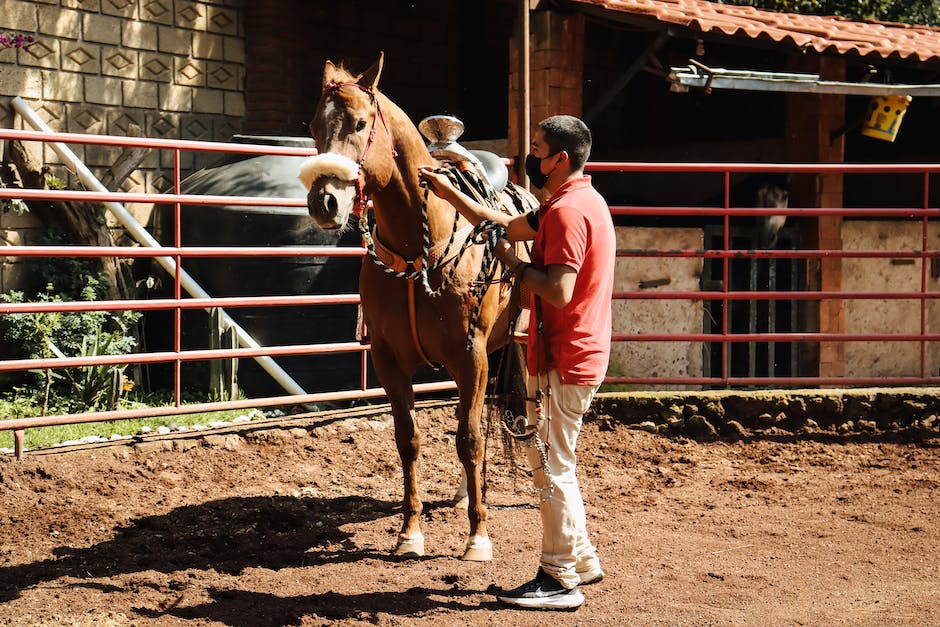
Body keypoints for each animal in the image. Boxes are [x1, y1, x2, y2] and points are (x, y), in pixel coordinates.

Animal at [302, 55, 536, 564]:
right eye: (312, 127)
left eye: (360, 123)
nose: (324, 201)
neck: (418, 250)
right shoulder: (389, 360)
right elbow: (408, 439)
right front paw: (409, 533)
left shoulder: (471, 355)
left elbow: (469, 440)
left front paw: (477, 538)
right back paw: (465, 494)